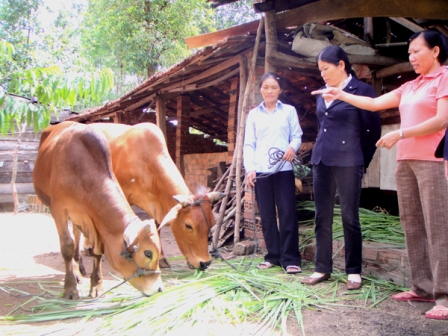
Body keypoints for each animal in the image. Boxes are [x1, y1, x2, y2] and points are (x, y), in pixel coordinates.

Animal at [32, 121, 163, 300]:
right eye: (148, 253)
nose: (159, 289)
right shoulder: (58, 210)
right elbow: (67, 246)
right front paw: (70, 289)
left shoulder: (93, 221)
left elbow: (96, 251)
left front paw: (96, 286)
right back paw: (76, 274)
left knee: (77, 235)